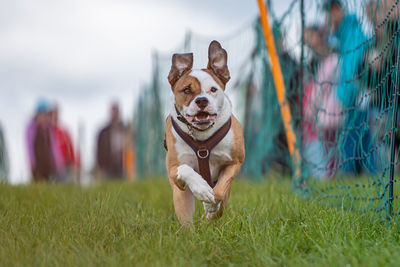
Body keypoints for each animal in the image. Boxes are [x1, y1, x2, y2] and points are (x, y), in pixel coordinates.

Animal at [164, 40, 245, 226]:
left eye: (213, 90)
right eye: (186, 90)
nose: (201, 100)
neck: (202, 136)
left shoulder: (235, 163)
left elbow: (219, 192)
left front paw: (210, 206)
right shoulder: (173, 168)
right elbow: (185, 168)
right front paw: (202, 190)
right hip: (181, 196)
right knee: (186, 221)